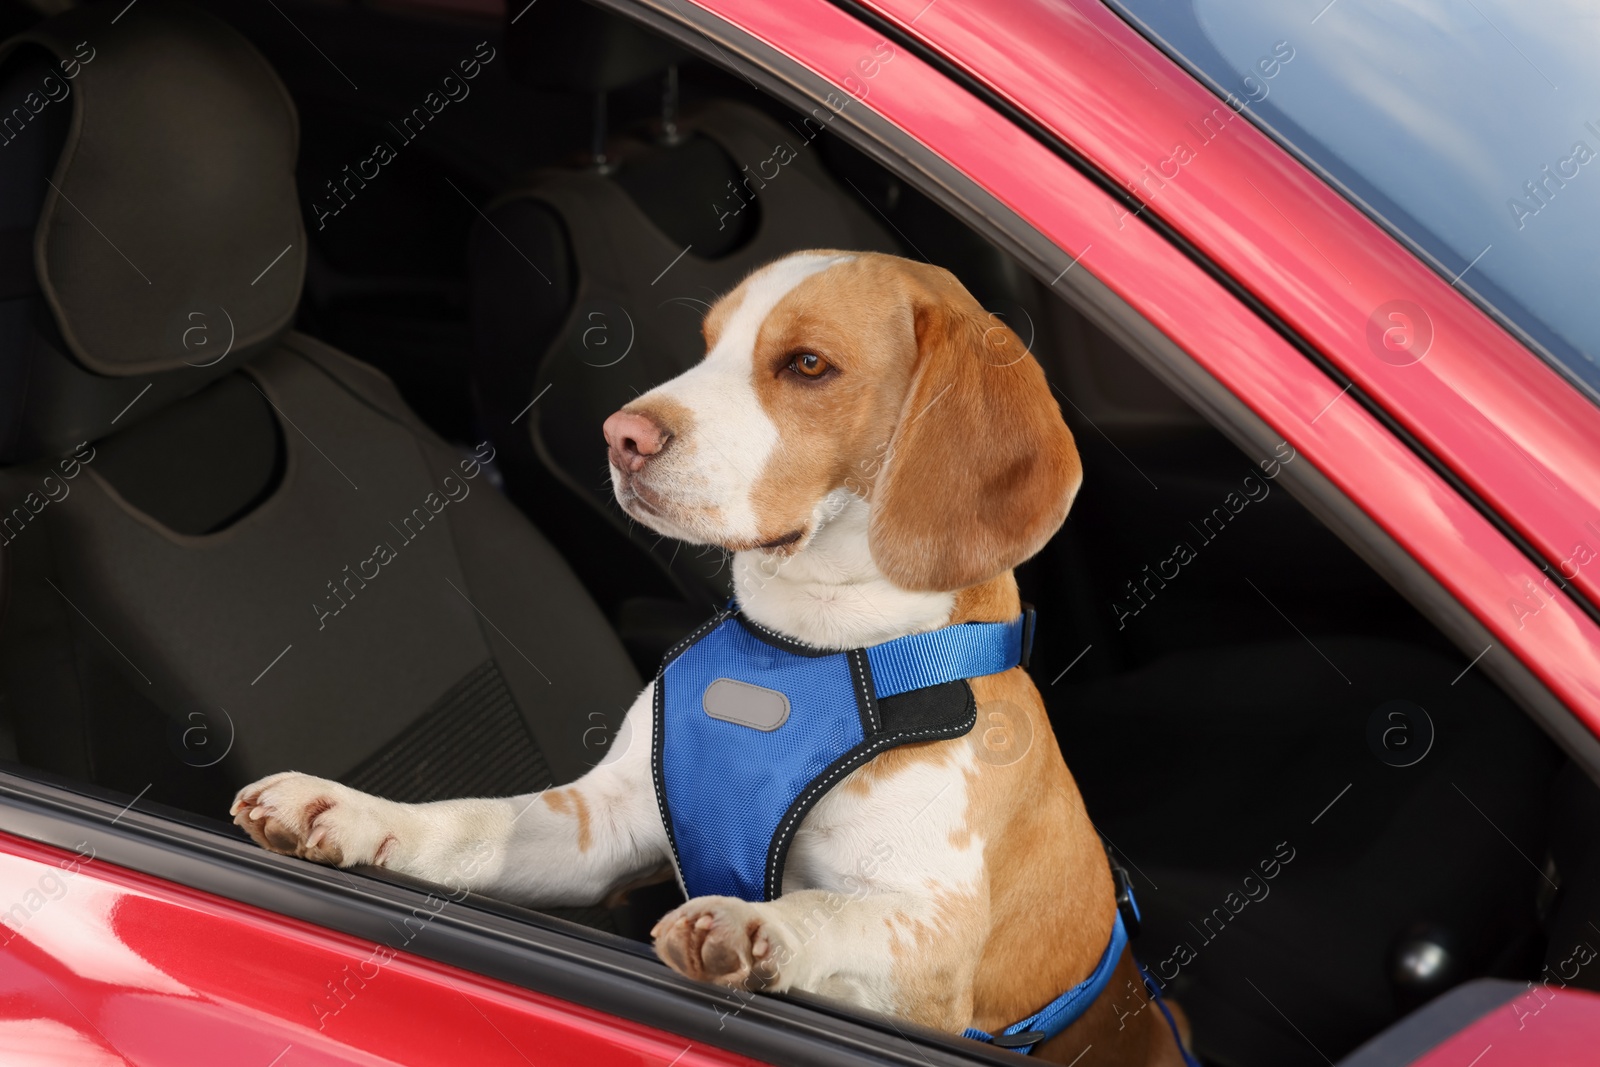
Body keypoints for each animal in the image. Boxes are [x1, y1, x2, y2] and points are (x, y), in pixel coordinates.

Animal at [233, 252, 1190, 1067]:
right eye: (707, 344)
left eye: (808, 364)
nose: (619, 434)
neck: (803, 648)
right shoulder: (599, 824)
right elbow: (468, 821)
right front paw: (348, 809)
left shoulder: (932, 944)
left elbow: (831, 909)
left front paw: (757, 928)